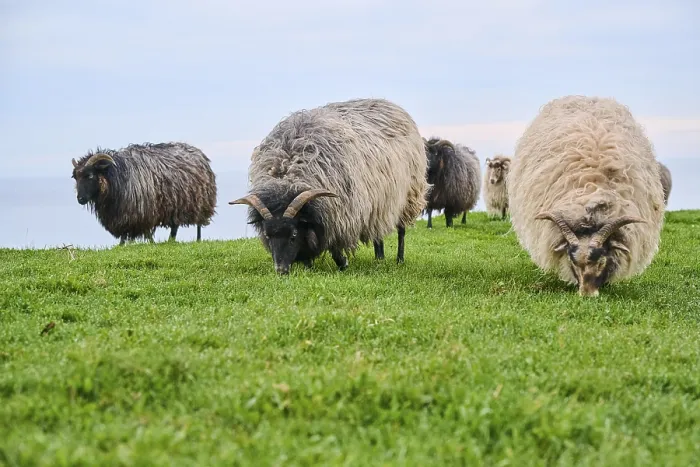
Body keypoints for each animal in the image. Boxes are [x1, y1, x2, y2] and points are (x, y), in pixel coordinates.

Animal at [71, 142, 217, 245]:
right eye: (75, 177)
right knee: (174, 227)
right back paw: (170, 241)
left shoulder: (141, 210)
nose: (80, 199)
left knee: (198, 224)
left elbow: (145, 232)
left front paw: (151, 244)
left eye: (90, 176)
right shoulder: (122, 213)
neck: (116, 177)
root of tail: (199, 153)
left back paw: (198, 240)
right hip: (176, 204)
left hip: (200, 201)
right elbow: (126, 232)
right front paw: (121, 245)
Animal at [229, 97, 428, 275]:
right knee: (377, 232)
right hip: (379, 201)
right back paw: (379, 258)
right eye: (268, 236)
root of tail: (389, 104)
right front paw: (308, 265)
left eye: (293, 236)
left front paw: (343, 263)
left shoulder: (339, 216)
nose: (281, 271)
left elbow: (334, 247)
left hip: (408, 195)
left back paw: (399, 259)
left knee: (401, 230)